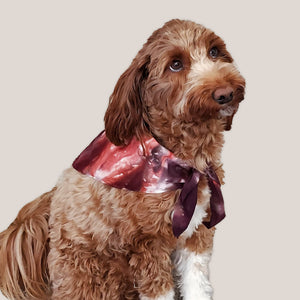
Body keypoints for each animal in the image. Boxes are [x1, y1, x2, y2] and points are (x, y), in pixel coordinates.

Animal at [0, 19, 244, 298]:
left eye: (214, 51)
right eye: (175, 64)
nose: (225, 93)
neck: (183, 164)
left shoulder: (196, 234)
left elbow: (197, 283)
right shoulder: (148, 244)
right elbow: (159, 290)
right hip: (89, 274)